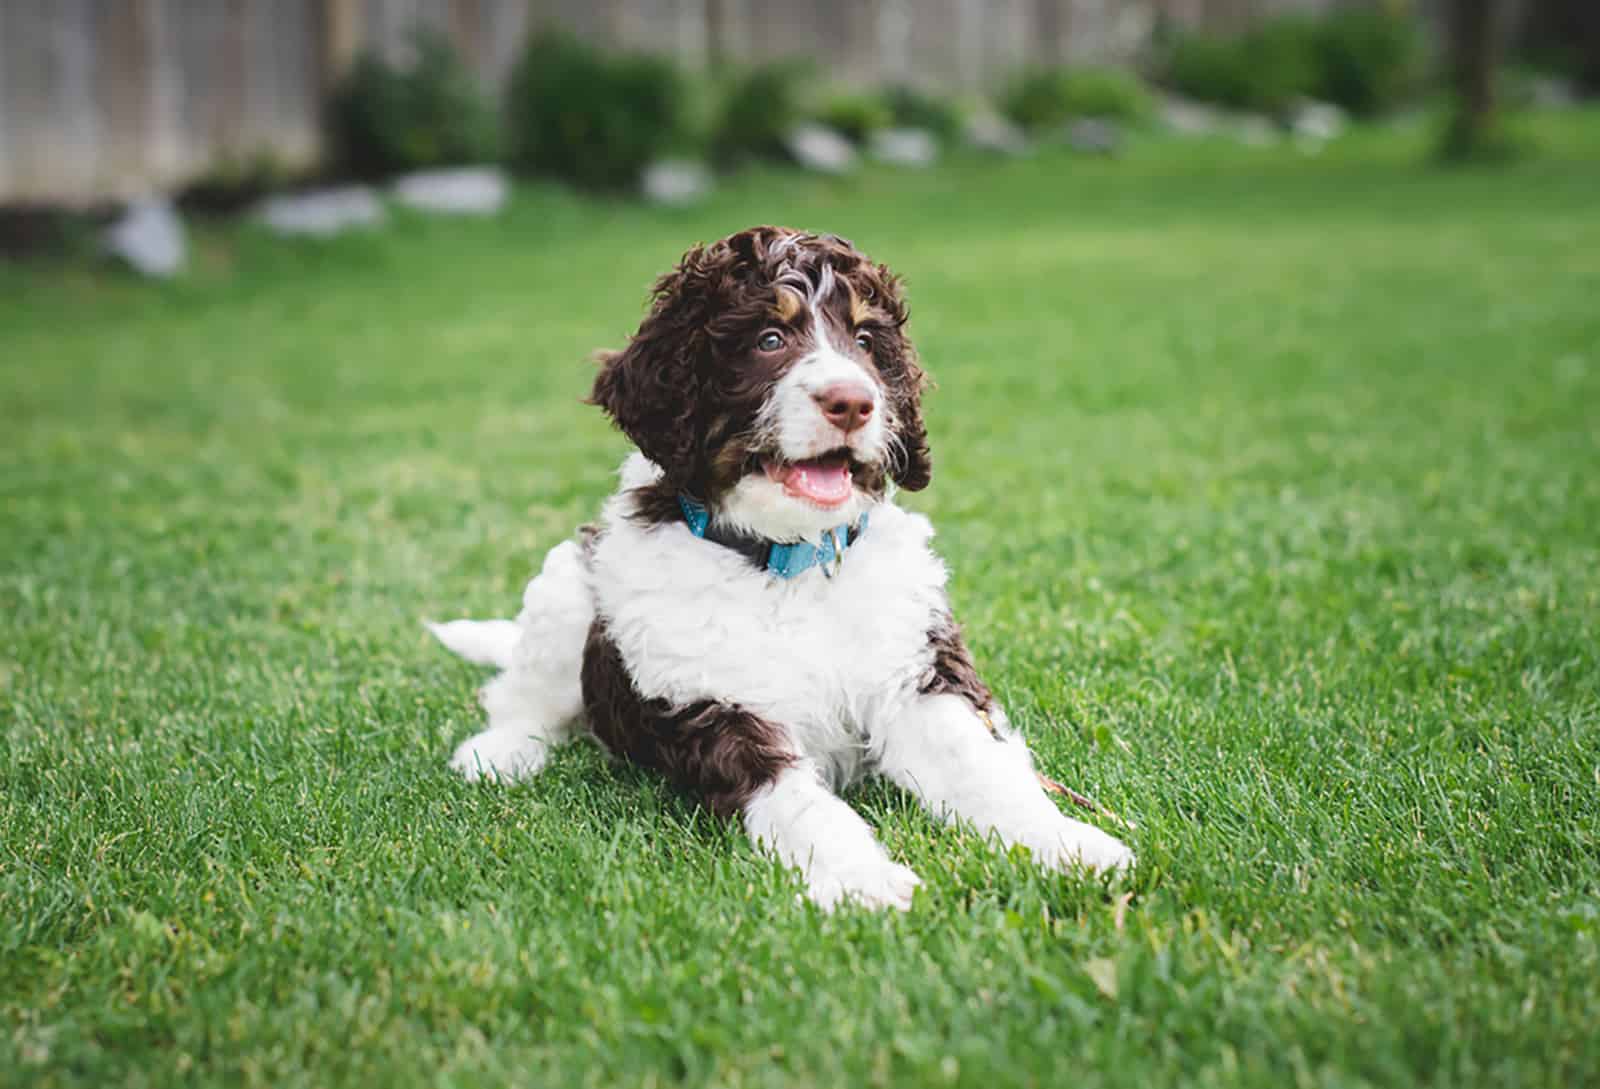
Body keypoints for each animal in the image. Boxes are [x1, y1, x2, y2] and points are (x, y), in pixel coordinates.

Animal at [432, 222, 1132, 908]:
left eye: (865, 341)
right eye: (769, 339)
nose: (852, 402)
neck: (790, 560)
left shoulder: (916, 671)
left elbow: (979, 767)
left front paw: (1067, 845)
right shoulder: (714, 707)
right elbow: (801, 804)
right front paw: (862, 879)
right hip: (567, 585)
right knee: (525, 697)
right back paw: (497, 754)